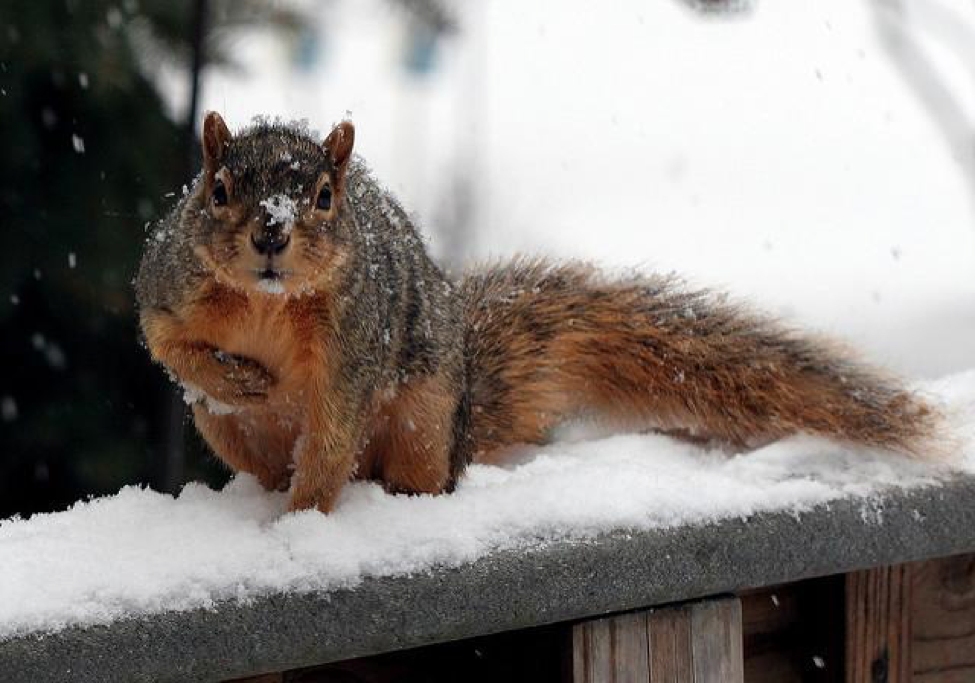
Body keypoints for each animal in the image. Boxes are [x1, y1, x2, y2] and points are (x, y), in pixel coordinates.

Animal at [135, 112, 936, 516]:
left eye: (326, 198)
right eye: (217, 189)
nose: (271, 234)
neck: (267, 302)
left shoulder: (357, 342)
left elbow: (332, 435)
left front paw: (302, 522)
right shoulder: (170, 288)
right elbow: (167, 345)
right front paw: (241, 379)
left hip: (425, 420)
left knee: (398, 469)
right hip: (228, 435)